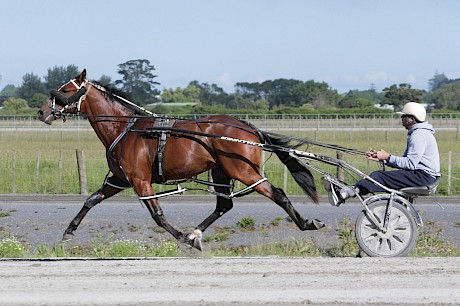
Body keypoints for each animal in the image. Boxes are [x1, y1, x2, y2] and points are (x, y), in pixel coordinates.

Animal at [36, 70, 324, 251]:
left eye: (64, 90)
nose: (41, 111)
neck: (125, 129)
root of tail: (248, 127)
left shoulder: (140, 181)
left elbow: (158, 216)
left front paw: (184, 238)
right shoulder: (120, 179)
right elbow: (91, 200)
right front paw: (69, 231)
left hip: (242, 169)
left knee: (277, 193)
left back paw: (307, 223)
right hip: (221, 171)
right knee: (224, 205)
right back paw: (197, 232)